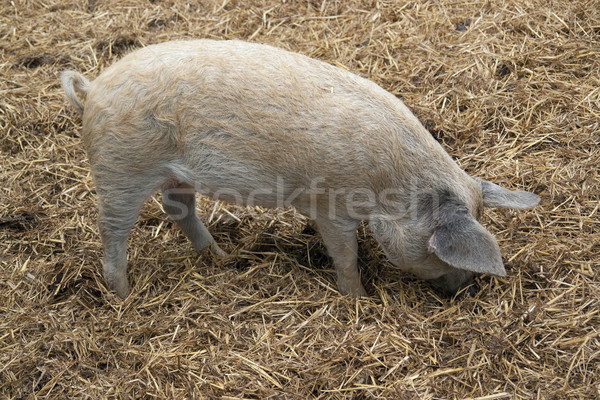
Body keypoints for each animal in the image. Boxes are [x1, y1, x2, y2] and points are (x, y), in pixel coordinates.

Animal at [61, 39, 540, 298]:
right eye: (439, 251)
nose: (468, 287)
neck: (391, 188)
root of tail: (94, 87)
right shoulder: (329, 206)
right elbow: (345, 256)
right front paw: (360, 298)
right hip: (120, 169)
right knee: (113, 231)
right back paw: (124, 297)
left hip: (173, 174)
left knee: (176, 208)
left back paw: (223, 258)